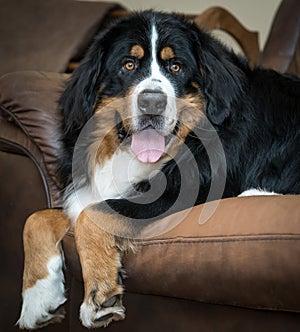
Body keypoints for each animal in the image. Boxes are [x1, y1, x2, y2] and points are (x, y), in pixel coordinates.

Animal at [17, 9, 298, 330]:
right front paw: (37, 299)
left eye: (176, 67)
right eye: (128, 65)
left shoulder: (174, 194)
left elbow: (92, 214)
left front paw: (99, 297)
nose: (152, 101)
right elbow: (36, 218)